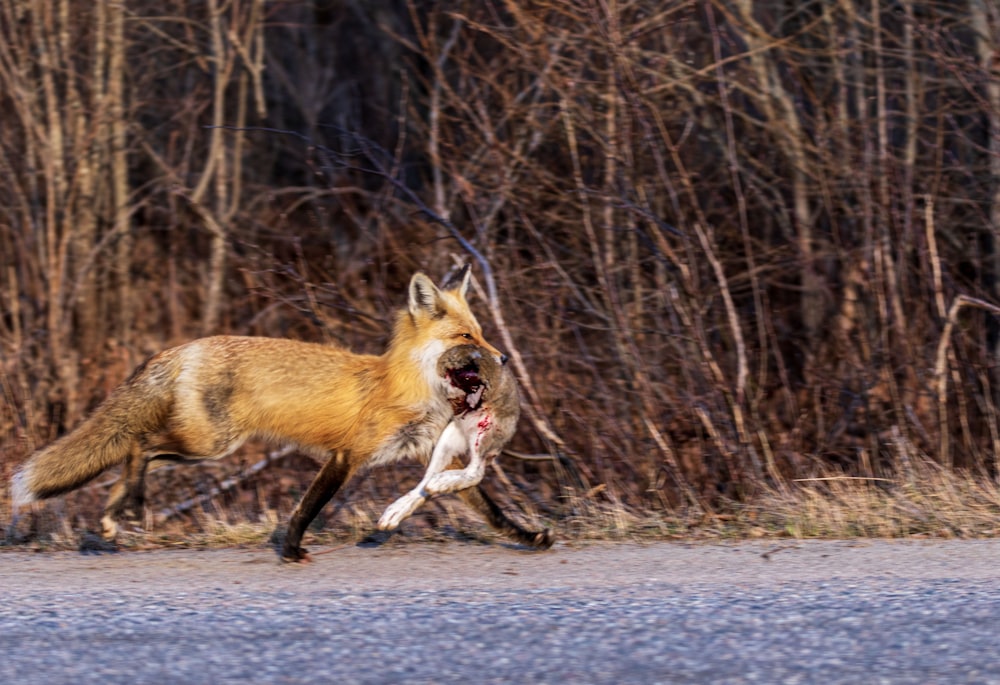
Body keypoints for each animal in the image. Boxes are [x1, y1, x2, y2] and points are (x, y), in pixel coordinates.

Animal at [9, 264, 556, 560]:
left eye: (481, 333)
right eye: (466, 337)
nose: (504, 360)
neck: (407, 387)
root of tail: (186, 347)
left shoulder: (426, 456)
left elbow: (490, 510)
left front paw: (530, 537)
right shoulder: (347, 456)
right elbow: (307, 507)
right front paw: (291, 550)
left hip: (207, 447)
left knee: (134, 455)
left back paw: (112, 514)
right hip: (209, 443)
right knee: (139, 447)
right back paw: (125, 506)